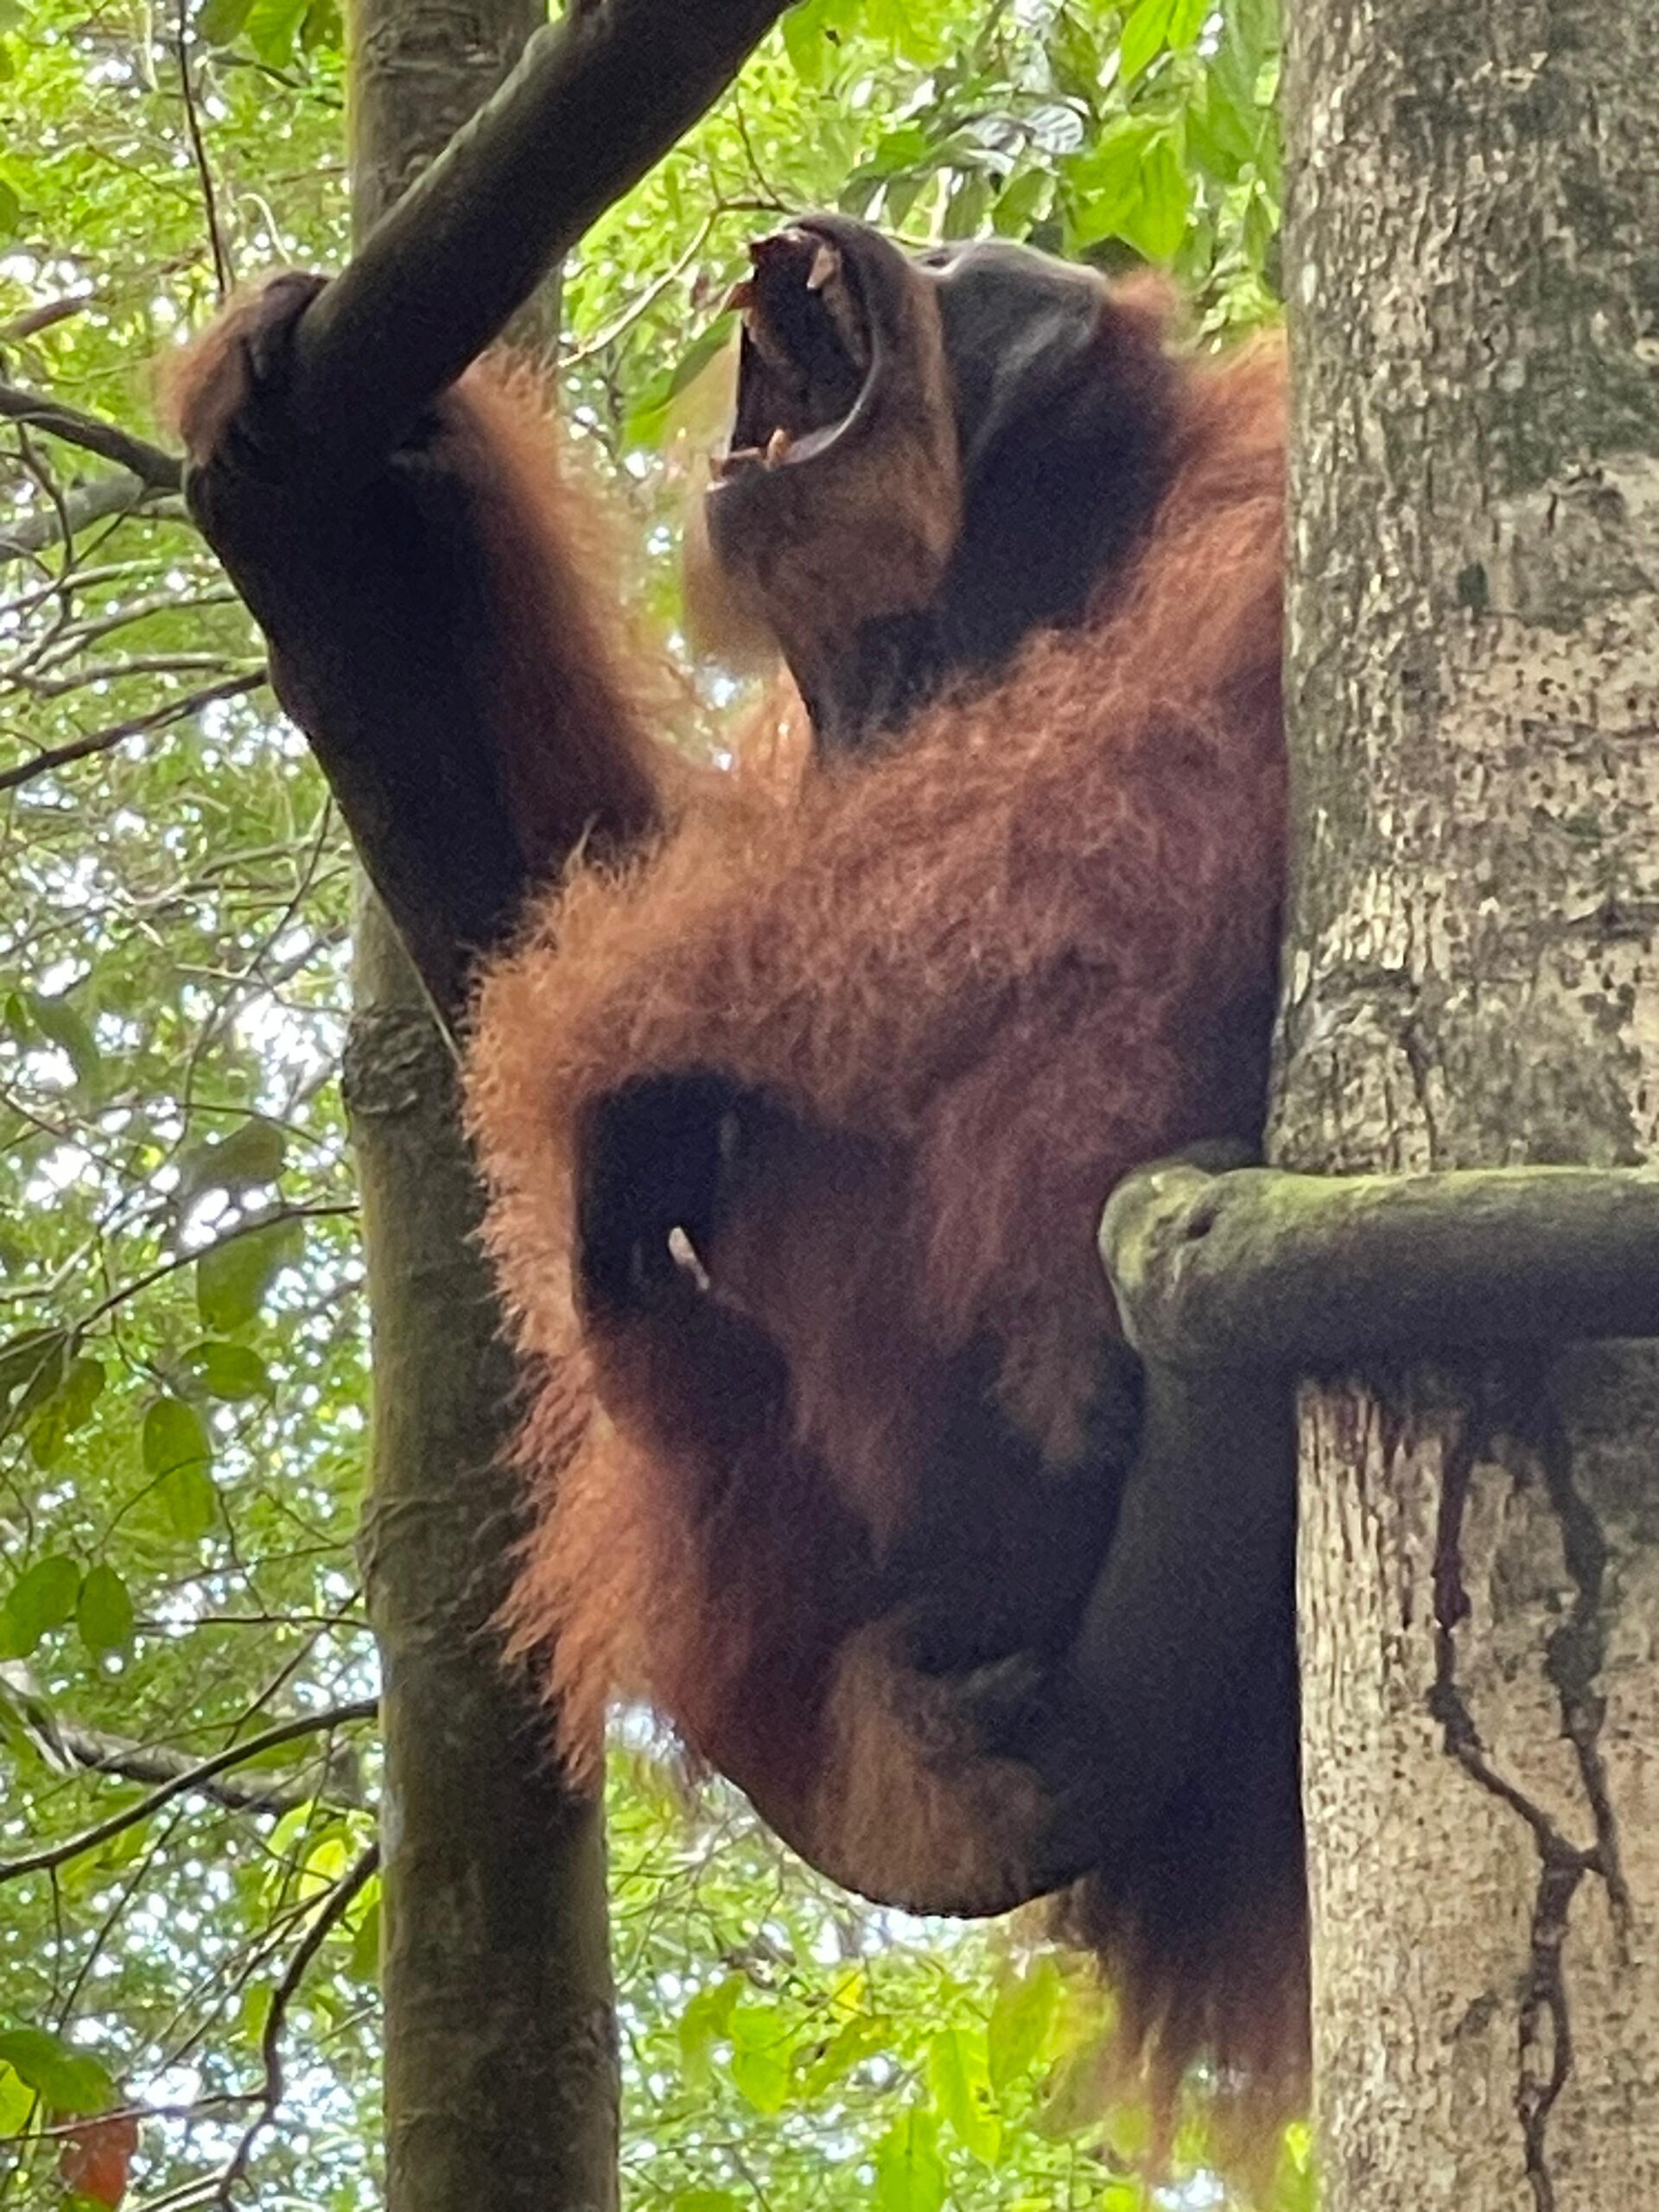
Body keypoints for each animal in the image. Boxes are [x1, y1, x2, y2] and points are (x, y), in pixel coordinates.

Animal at [170, 211, 1301, 2114]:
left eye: (974, 282)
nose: (892, 244)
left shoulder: (1277, 474)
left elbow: (1185, 743)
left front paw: (606, 1033)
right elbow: (574, 876)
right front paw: (363, 509)